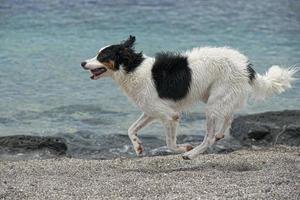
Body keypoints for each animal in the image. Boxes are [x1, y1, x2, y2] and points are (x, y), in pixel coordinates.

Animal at [80, 34, 298, 159]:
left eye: (102, 56)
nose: (82, 62)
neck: (132, 68)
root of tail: (246, 65)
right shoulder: (152, 112)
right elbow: (130, 129)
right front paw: (138, 148)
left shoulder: (170, 115)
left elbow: (170, 144)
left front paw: (184, 149)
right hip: (218, 98)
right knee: (229, 116)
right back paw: (220, 134)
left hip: (212, 105)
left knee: (209, 137)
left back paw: (192, 155)